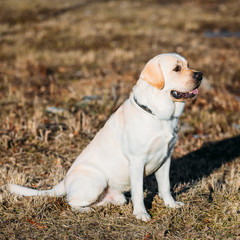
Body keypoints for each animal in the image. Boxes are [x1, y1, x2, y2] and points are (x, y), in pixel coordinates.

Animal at [7, 53, 202, 221]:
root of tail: (64, 181)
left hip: (114, 194)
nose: (200, 75)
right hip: (97, 180)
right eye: (176, 69)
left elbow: (165, 186)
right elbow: (139, 192)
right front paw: (141, 214)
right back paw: (86, 210)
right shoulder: (137, 161)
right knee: (71, 202)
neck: (159, 115)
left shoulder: (166, 157)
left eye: (188, 65)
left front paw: (172, 205)